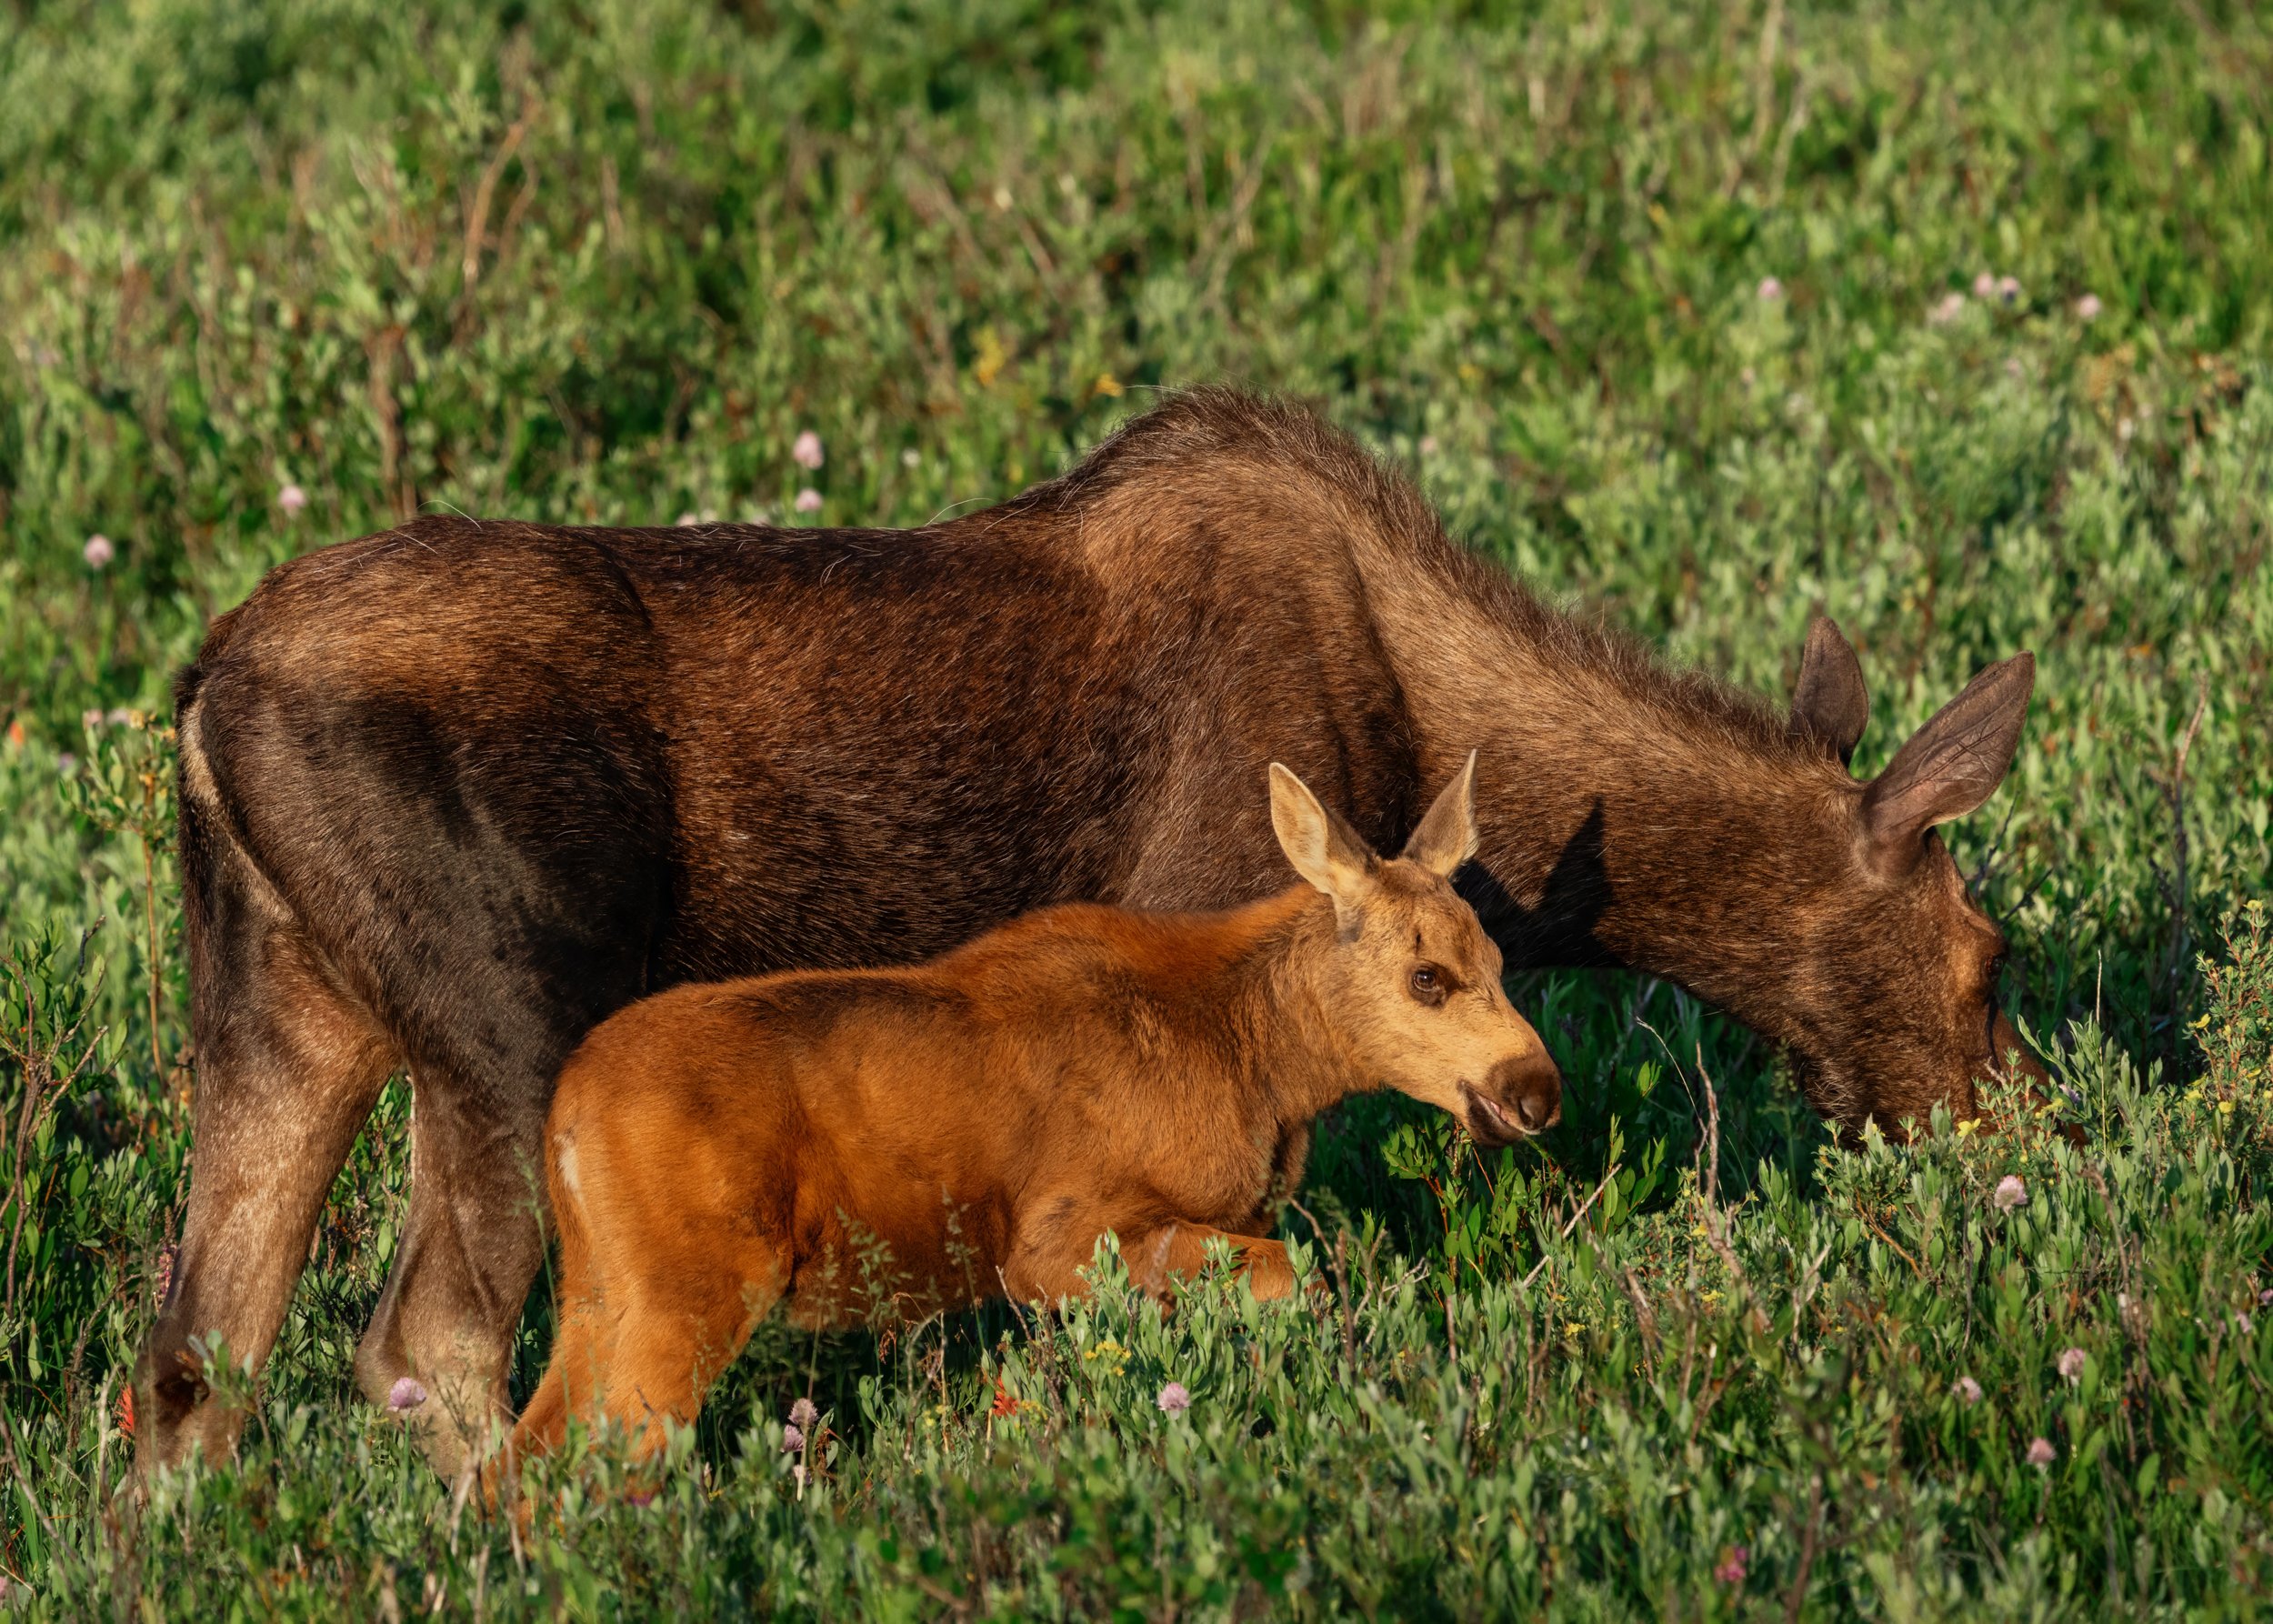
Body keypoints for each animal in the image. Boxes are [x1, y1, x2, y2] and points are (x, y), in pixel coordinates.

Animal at [498, 755, 1557, 1474]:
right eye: (1427, 977)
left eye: (1501, 960)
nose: (1535, 1088)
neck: (1265, 1063)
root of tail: (566, 1113)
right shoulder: (1054, 1240)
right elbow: (1292, 1272)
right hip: (693, 1286)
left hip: (599, 1290)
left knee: (522, 1463)